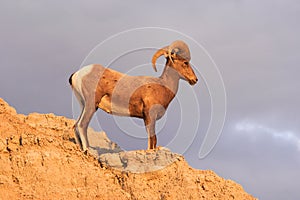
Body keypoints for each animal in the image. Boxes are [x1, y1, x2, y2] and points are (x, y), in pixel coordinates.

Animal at [69, 39, 198, 151]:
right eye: (185, 62)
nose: (195, 80)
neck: (162, 86)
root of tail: (77, 74)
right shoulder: (150, 117)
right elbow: (152, 140)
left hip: (84, 105)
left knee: (75, 126)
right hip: (91, 105)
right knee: (82, 125)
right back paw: (87, 149)